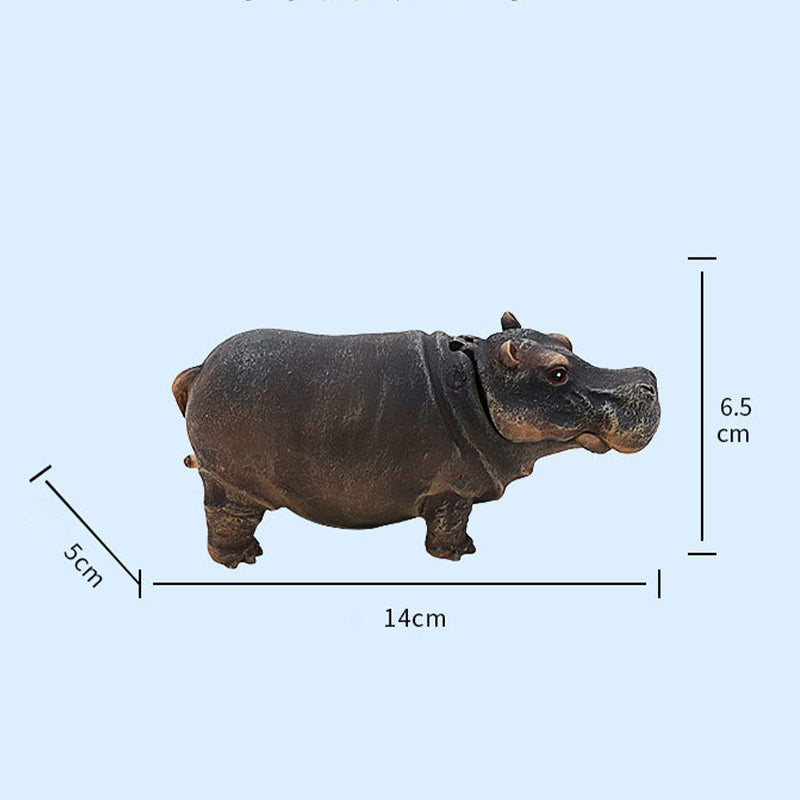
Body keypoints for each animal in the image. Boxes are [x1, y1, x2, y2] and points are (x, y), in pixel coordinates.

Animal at [173, 312, 660, 567]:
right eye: (557, 372)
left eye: (564, 339)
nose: (647, 379)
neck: (481, 380)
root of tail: (198, 370)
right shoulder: (452, 490)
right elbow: (450, 524)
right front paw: (460, 555)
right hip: (231, 484)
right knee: (225, 519)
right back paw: (241, 559)